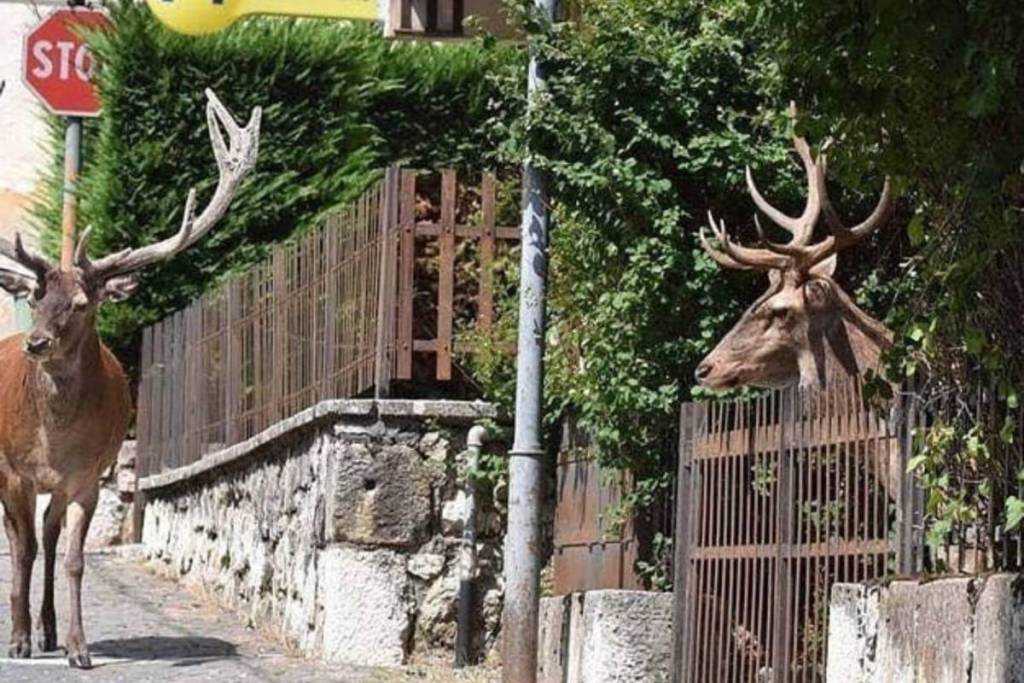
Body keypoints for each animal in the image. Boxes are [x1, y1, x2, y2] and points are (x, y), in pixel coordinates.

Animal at [0, 89, 260, 668]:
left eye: (81, 302)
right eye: (35, 296)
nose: (36, 343)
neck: (54, 439)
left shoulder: (89, 475)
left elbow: (73, 558)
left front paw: (78, 648)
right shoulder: (12, 470)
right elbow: (20, 548)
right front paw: (18, 640)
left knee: (49, 538)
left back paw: (50, 630)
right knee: (25, 541)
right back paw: (28, 632)